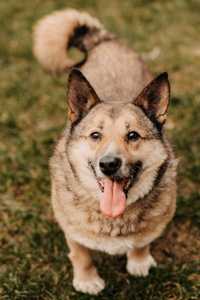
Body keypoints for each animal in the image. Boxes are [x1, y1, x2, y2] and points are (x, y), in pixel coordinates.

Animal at [33, 8, 177, 296]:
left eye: (133, 135)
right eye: (95, 135)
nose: (109, 164)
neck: (112, 216)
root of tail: (103, 41)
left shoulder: (156, 222)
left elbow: (142, 241)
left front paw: (139, 261)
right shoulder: (69, 224)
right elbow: (81, 254)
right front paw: (87, 280)